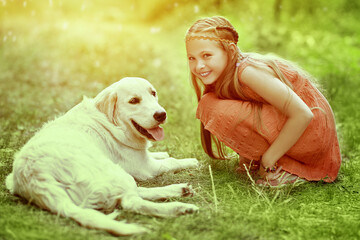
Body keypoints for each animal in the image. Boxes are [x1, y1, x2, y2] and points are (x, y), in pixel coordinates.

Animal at [4, 78, 200, 235]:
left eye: (153, 93)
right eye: (134, 101)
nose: (161, 115)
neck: (112, 122)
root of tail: (34, 178)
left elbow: (159, 156)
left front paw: (162, 153)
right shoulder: (145, 168)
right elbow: (171, 161)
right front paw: (191, 161)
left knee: (133, 193)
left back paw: (179, 190)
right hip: (113, 171)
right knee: (131, 201)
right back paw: (180, 207)